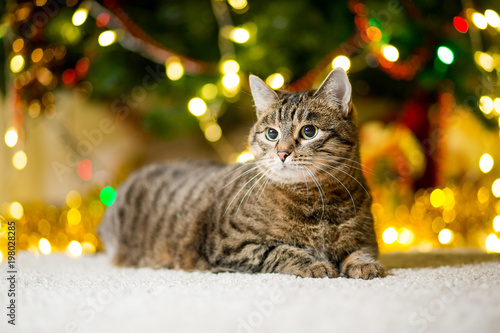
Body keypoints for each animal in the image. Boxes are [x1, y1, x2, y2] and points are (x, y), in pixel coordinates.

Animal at [99, 67, 384, 278]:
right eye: (272, 134)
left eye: (309, 131)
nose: (282, 153)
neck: (318, 200)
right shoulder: (231, 245)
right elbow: (281, 251)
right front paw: (315, 264)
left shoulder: (366, 238)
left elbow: (361, 251)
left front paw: (364, 264)